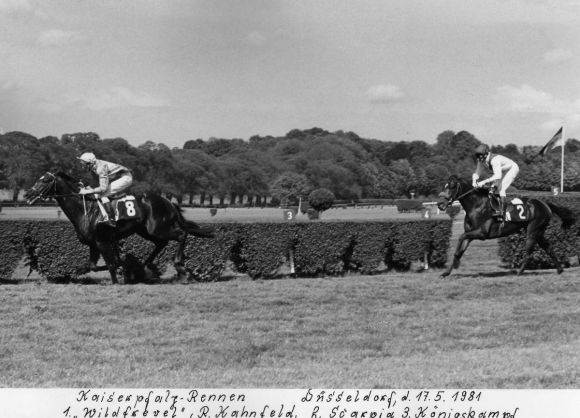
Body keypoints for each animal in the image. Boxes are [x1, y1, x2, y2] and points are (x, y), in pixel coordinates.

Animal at [24, 171, 215, 284]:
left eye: (45, 180)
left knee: (181, 234)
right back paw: (143, 267)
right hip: (146, 231)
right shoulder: (94, 244)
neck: (85, 210)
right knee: (161, 243)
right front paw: (125, 266)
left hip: (157, 228)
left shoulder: (102, 242)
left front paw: (118, 277)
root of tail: (169, 202)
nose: (27, 193)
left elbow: (110, 264)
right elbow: (93, 266)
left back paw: (180, 267)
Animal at [438, 176, 572, 278]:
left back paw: (519, 272)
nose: (440, 204)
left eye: (451, 186)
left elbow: (461, 237)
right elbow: (459, 250)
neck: (477, 205)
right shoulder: (471, 234)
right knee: (548, 247)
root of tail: (545, 204)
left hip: (533, 230)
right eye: (444, 186)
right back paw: (559, 269)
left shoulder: (482, 233)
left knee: (529, 252)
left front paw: (455, 264)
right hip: (539, 232)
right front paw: (446, 272)